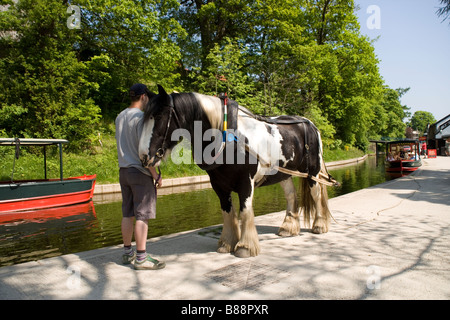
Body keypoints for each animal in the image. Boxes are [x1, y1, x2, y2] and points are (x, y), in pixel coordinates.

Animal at [139, 85, 336, 258]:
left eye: (159, 115)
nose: (144, 156)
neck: (228, 137)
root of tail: (311, 125)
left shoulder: (245, 182)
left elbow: (245, 211)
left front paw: (245, 247)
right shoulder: (218, 185)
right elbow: (227, 212)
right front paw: (227, 243)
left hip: (312, 172)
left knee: (317, 195)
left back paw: (319, 225)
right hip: (284, 174)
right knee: (291, 196)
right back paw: (288, 228)